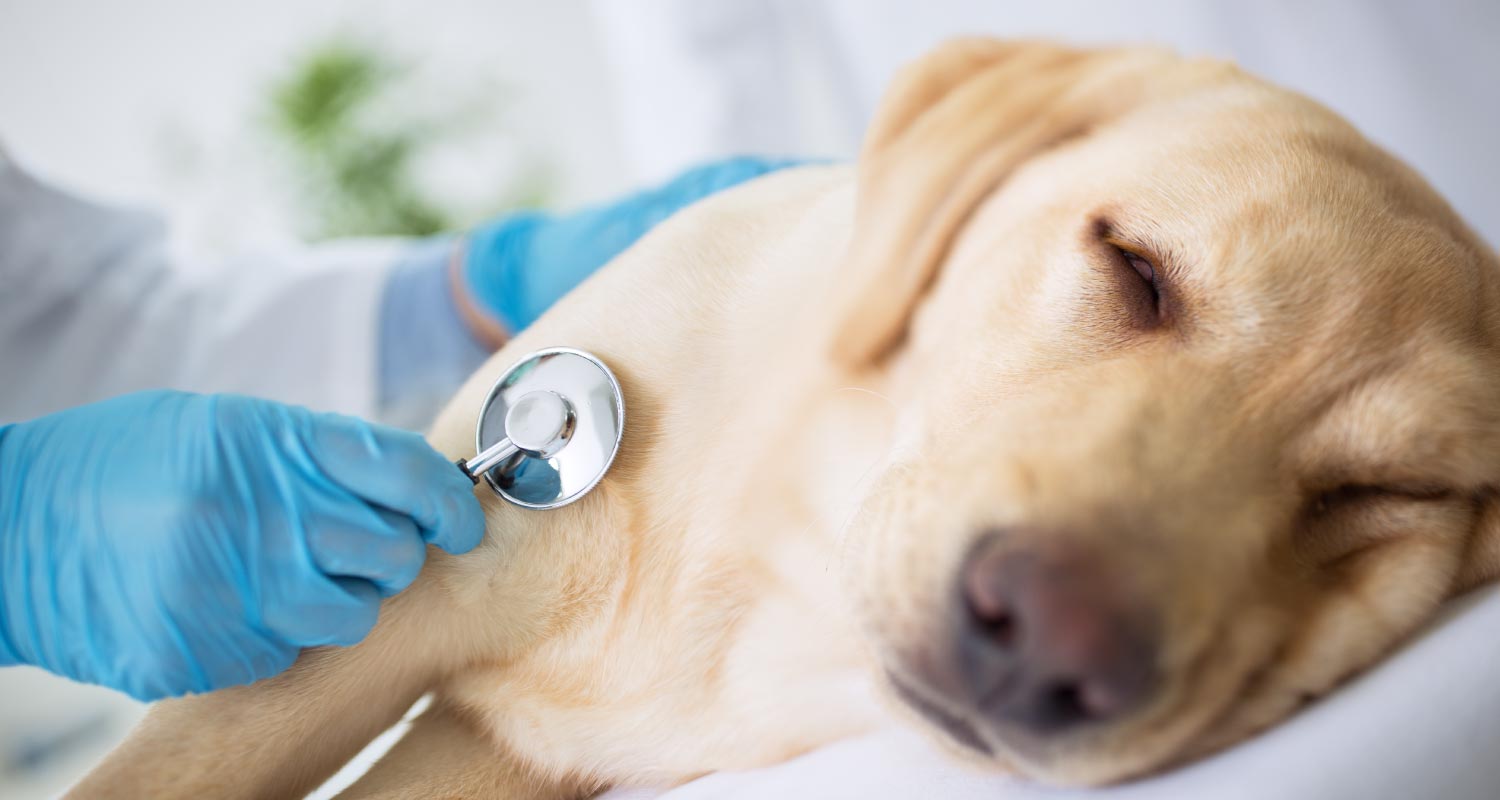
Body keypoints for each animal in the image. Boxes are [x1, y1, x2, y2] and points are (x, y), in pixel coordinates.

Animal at [67, 40, 1500, 792]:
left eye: (1386, 493)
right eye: (1136, 269)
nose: (1048, 641)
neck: (764, 575)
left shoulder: (494, 760)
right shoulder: (356, 636)